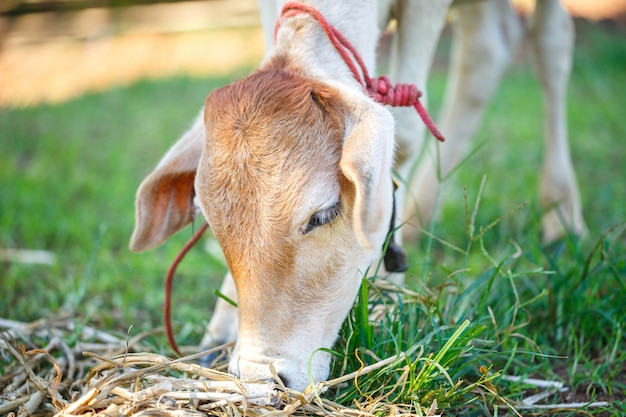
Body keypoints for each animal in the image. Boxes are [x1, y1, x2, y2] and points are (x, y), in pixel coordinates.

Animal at [129, 0, 584, 392]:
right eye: (206, 219)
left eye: (325, 212)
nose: (263, 377)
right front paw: (222, 324)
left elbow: (407, 134)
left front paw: (386, 293)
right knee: (489, 48)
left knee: (551, 39)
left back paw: (562, 214)